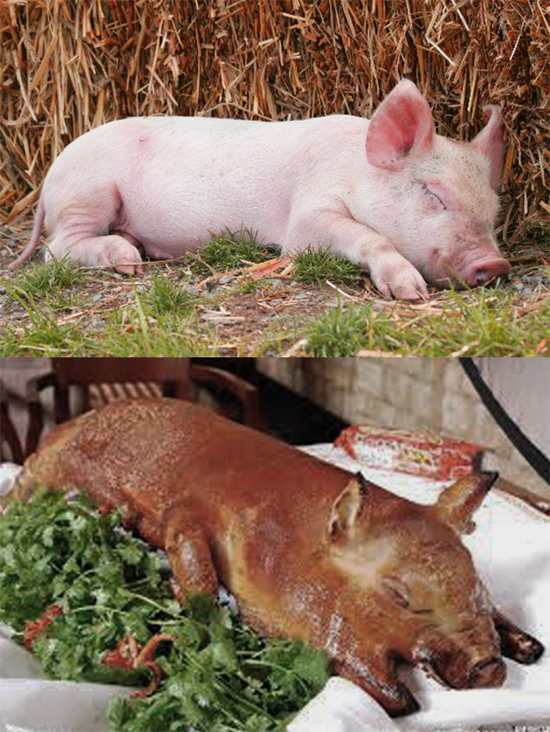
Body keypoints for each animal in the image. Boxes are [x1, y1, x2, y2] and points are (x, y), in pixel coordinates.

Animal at [9, 80, 511, 300]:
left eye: (493, 209)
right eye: (435, 194)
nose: (495, 264)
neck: (357, 171)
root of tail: (50, 177)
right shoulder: (307, 216)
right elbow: (366, 235)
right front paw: (410, 293)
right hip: (89, 192)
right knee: (56, 249)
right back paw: (128, 261)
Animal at [12, 398, 543, 717]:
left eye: (478, 583)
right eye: (399, 595)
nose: (490, 668)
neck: (285, 534)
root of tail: (56, 435)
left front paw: (531, 646)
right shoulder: (191, 515)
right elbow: (193, 561)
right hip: (55, 474)